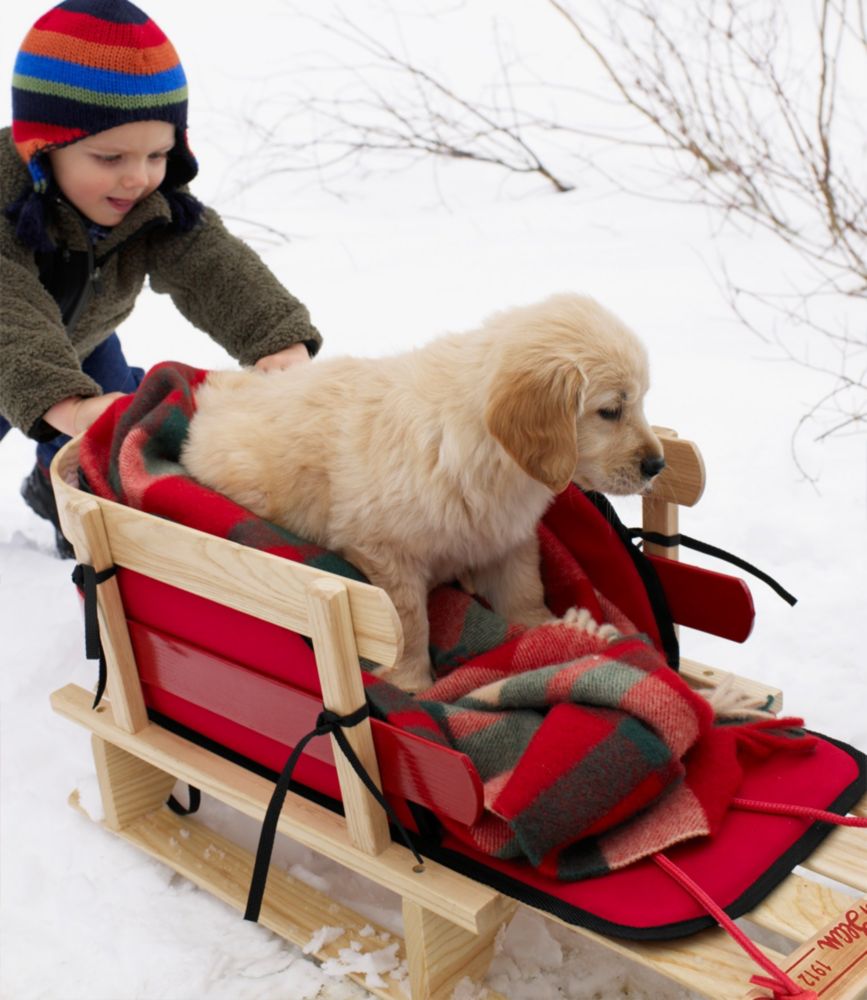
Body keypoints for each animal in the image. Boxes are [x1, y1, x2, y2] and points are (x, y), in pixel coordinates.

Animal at [183, 292, 664, 692]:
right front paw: (409, 681)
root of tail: (216, 392)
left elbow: (524, 589)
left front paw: (551, 631)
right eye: (610, 411)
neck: (495, 460)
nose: (658, 465)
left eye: (641, 401)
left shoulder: (508, 538)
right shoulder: (387, 552)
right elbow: (406, 622)